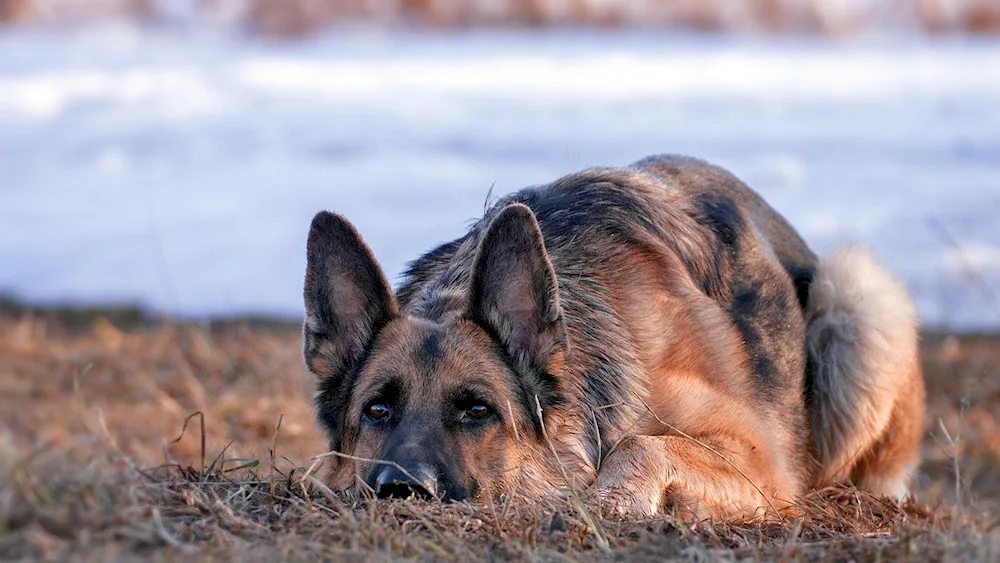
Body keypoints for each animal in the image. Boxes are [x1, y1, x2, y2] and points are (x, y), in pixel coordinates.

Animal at [300, 154, 924, 520]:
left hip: (856, 296)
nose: (403, 492)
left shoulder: (761, 461)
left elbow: (641, 444)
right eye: (377, 410)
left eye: (478, 411)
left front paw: (608, 502)